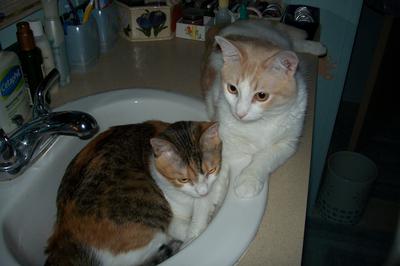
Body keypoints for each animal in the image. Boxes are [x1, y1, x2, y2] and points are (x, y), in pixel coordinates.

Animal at [45, 121, 223, 266]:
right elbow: (184, 228)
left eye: (211, 170)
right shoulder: (172, 216)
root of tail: (63, 231)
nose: (203, 192)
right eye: (184, 179)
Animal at [202, 19, 318, 200]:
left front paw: (248, 180)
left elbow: (265, 157)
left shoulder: (287, 143)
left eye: (261, 96)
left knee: (294, 42)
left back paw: (317, 47)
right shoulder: (223, 137)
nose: (240, 113)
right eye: (232, 88)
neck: (262, 123)